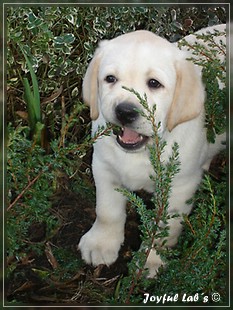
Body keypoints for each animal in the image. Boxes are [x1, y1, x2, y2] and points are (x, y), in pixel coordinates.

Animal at [78, 24, 226, 276]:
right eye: (110, 79)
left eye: (154, 83)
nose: (125, 111)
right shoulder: (103, 167)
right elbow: (107, 211)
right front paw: (101, 243)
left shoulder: (178, 187)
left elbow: (164, 228)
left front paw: (151, 260)